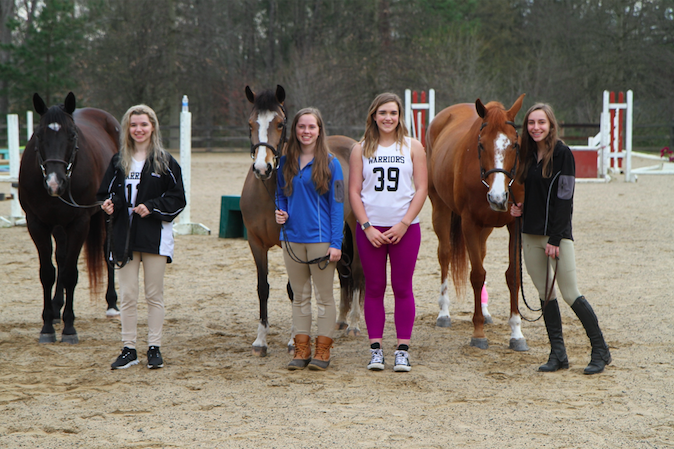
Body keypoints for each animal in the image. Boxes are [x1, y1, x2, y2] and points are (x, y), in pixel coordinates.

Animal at [18, 93, 121, 342]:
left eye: (72, 135)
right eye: (39, 135)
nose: (55, 183)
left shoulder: (79, 224)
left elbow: (70, 274)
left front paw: (69, 328)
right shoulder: (37, 224)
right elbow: (49, 272)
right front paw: (47, 326)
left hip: (107, 212)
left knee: (107, 252)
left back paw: (112, 304)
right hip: (59, 226)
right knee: (61, 257)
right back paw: (57, 308)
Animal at [240, 84, 362, 356]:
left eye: (280, 123)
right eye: (251, 124)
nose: (262, 168)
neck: (268, 193)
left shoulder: (292, 245)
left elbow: (294, 290)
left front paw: (293, 340)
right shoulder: (255, 244)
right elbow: (262, 288)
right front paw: (260, 341)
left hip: (355, 226)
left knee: (359, 271)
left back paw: (354, 324)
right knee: (344, 272)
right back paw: (341, 320)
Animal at [426, 94, 532, 350]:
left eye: (515, 144)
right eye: (481, 144)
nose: (497, 197)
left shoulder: (515, 225)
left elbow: (512, 276)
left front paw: (516, 333)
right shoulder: (469, 224)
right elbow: (476, 275)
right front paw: (478, 333)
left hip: (485, 228)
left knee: (481, 256)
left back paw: (484, 311)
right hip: (440, 209)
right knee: (445, 254)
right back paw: (444, 312)